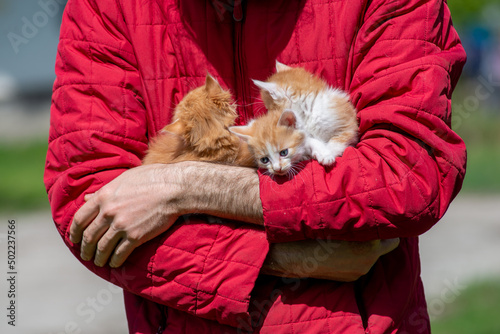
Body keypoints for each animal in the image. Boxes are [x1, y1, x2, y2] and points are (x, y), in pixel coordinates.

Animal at [230, 61, 360, 175]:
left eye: (268, 108)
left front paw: (326, 154)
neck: (309, 109)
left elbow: (337, 142)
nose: (268, 115)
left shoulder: (347, 126)